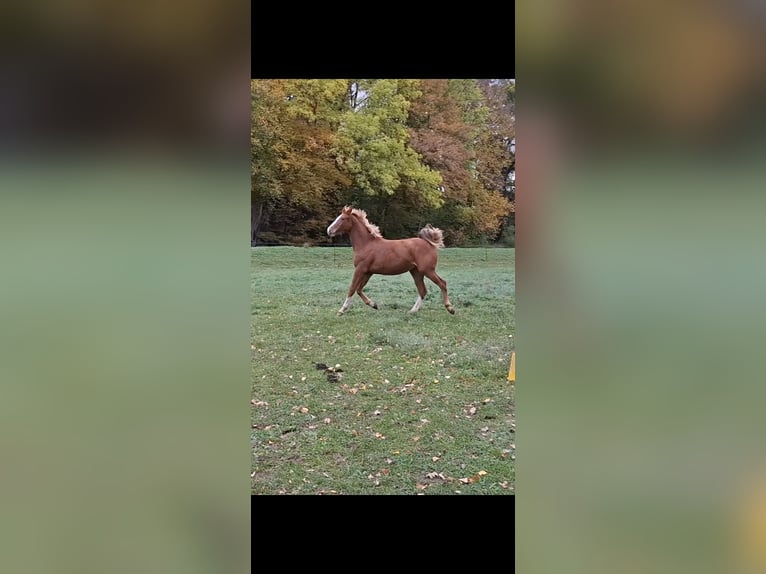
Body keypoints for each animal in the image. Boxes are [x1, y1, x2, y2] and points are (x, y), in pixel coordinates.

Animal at [326, 206, 455, 316]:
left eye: (343, 218)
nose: (329, 230)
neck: (366, 244)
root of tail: (429, 243)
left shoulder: (360, 269)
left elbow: (352, 288)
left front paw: (341, 310)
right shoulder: (368, 272)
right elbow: (359, 289)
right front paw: (374, 305)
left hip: (427, 270)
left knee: (442, 283)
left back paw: (450, 308)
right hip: (416, 272)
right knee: (422, 290)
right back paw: (413, 311)